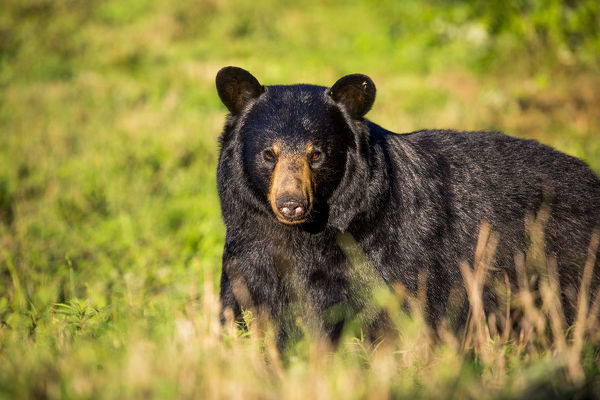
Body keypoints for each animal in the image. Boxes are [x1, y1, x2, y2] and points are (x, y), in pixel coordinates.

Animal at [216, 67, 600, 348]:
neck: (306, 234)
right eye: (269, 154)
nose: (291, 205)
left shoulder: (381, 249)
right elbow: (242, 300)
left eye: (317, 154)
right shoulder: (249, 244)